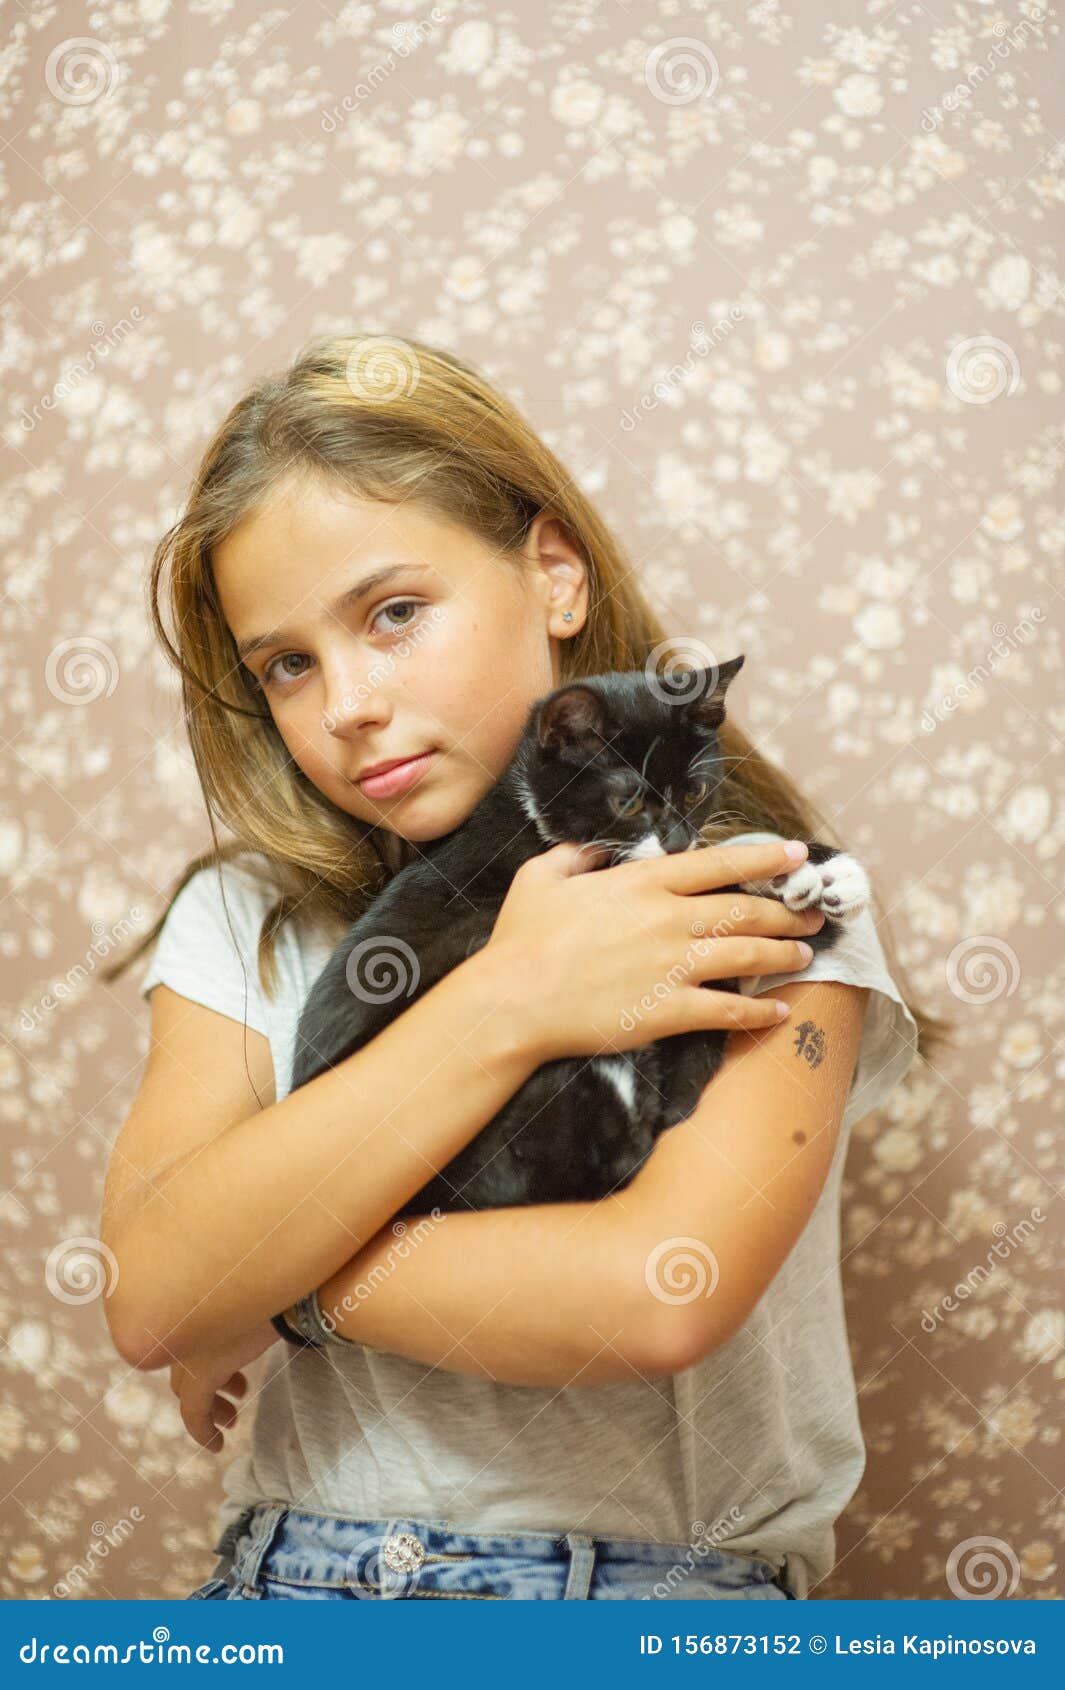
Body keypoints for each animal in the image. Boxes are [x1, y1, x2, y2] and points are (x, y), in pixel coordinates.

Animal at [287, 655, 872, 1216]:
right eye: (627, 803)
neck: (533, 813)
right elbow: (710, 894)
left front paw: (817, 868)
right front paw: (806, 878)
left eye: (694, 790)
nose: (676, 841)